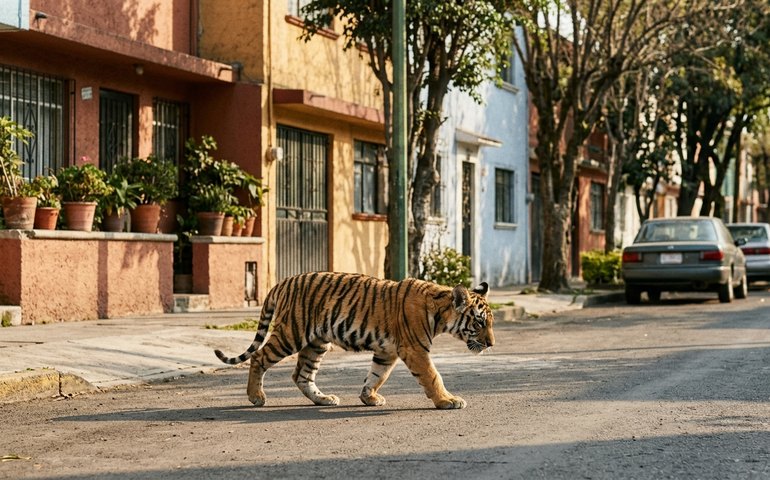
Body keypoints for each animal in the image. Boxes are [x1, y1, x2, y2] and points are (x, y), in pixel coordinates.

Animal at [214, 271, 495, 409]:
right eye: (480, 322)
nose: (492, 344)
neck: (440, 314)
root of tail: (282, 282)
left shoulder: (387, 351)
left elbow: (377, 375)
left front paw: (368, 398)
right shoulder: (415, 349)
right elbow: (433, 376)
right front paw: (448, 401)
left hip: (317, 342)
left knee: (301, 375)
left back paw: (324, 399)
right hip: (290, 334)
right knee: (259, 357)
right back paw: (256, 397)